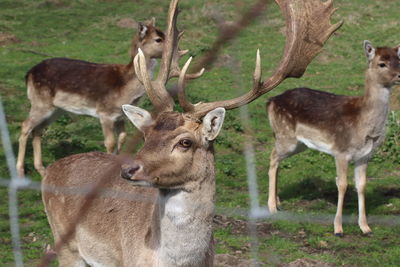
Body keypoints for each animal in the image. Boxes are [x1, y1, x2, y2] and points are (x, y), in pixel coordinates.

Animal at [15, 17, 166, 179]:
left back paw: (42, 170)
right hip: (40, 102)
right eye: (158, 39)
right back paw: (20, 172)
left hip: (55, 109)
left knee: (37, 130)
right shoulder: (105, 113)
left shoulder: (120, 117)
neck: (126, 89)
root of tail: (28, 74)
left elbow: (122, 137)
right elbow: (110, 142)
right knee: (25, 125)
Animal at [266, 40, 400, 237]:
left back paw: (278, 202)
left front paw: (366, 228)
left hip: (298, 144)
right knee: (273, 157)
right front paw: (338, 228)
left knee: (277, 160)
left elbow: (361, 185)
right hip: (285, 136)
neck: (363, 126)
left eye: (399, 60)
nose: (399, 75)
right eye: (382, 63)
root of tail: (271, 101)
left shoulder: (364, 156)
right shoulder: (341, 151)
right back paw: (272, 207)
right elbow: (342, 184)